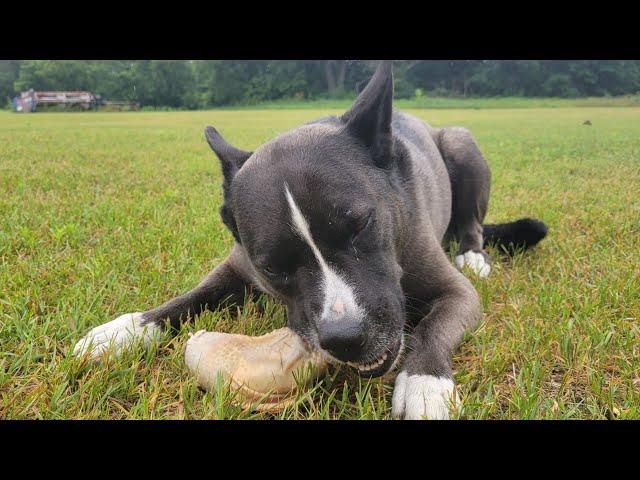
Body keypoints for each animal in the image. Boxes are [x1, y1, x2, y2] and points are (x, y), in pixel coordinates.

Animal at [74, 62, 544, 418]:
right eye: (272, 267)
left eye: (361, 225)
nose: (346, 338)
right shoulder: (237, 264)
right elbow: (189, 297)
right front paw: (123, 330)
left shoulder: (454, 293)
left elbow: (436, 324)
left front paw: (424, 383)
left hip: (462, 143)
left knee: (472, 224)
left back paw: (473, 254)